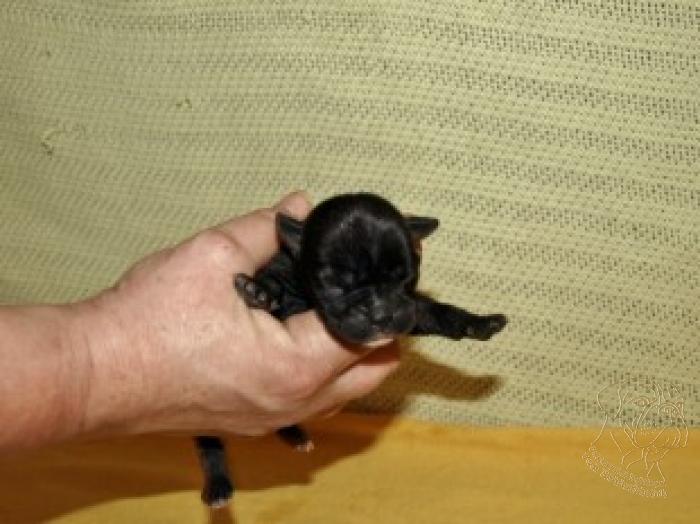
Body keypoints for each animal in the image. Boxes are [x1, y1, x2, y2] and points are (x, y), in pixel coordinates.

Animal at [196, 192, 508, 507]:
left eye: (405, 278)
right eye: (335, 284)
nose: (381, 314)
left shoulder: (410, 309)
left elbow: (433, 312)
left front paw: (478, 323)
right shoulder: (283, 271)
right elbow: (273, 282)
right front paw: (258, 291)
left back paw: (296, 436)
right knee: (209, 443)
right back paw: (219, 485)